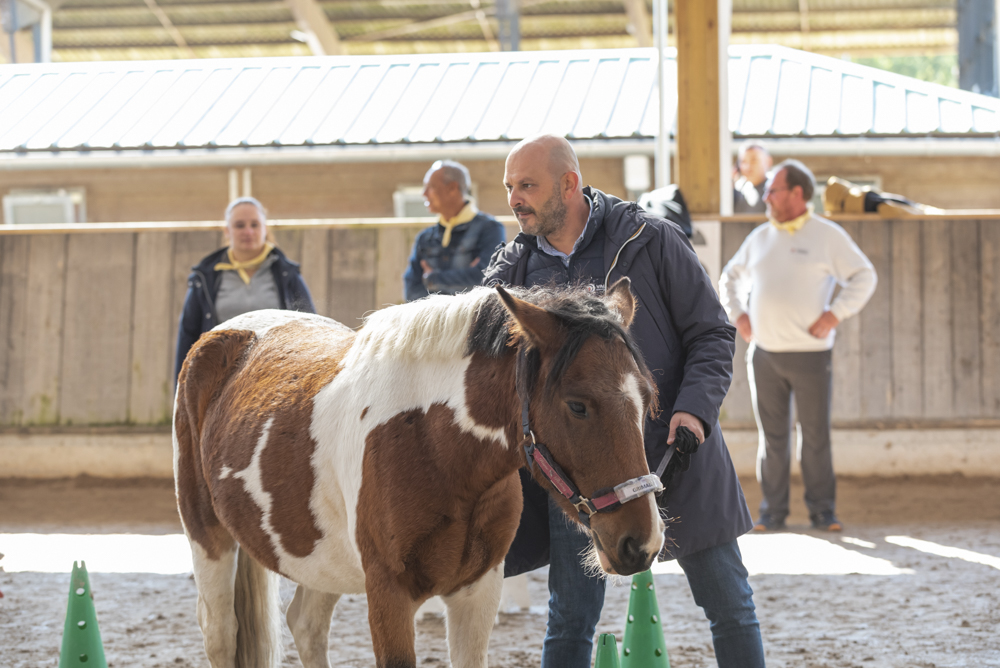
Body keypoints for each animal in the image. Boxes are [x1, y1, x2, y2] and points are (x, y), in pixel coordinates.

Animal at [174, 280, 664, 668]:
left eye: (647, 398)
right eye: (577, 405)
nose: (640, 543)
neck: (434, 445)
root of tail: (223, 335)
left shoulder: (477, 591)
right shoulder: (388, 595)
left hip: (322, 556)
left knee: (306, 625)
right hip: (208, 538)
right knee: (221, 634)